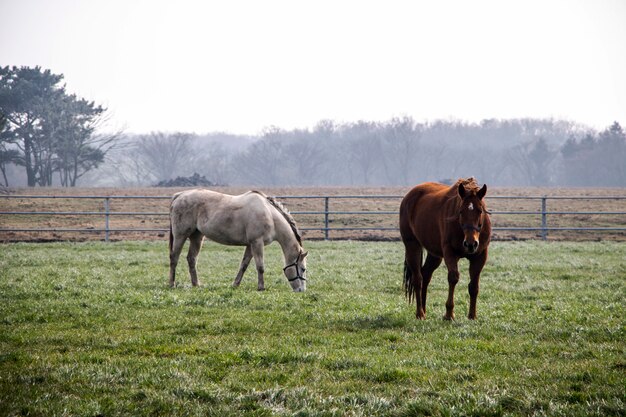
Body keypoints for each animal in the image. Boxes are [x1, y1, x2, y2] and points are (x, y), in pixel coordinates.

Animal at [168, 188, 308, 290]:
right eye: (303, 269)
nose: (301, 290)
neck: (269, 215)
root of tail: (180, 195)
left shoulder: (250, 245)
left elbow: (244, 265)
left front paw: (235, 284)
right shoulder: (257, 243)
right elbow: (260, 266)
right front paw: (261, 287)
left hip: (197, 237)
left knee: (191, 259)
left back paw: (196, 284)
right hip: (180, 236)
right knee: (174, 258)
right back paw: (172, 284)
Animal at [398, 178, 490, 318]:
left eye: (480, 211)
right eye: (461, 211)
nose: (470, 244)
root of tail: (408, 197)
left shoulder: (480, 256)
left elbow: (474, 286)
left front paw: (472, 315)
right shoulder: (450, 253)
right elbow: (453, 278)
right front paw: (449, 314)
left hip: (434, 254)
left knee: (425, 275)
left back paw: (424, 309)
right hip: (412, 247)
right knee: (418, 279)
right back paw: (420, 313)